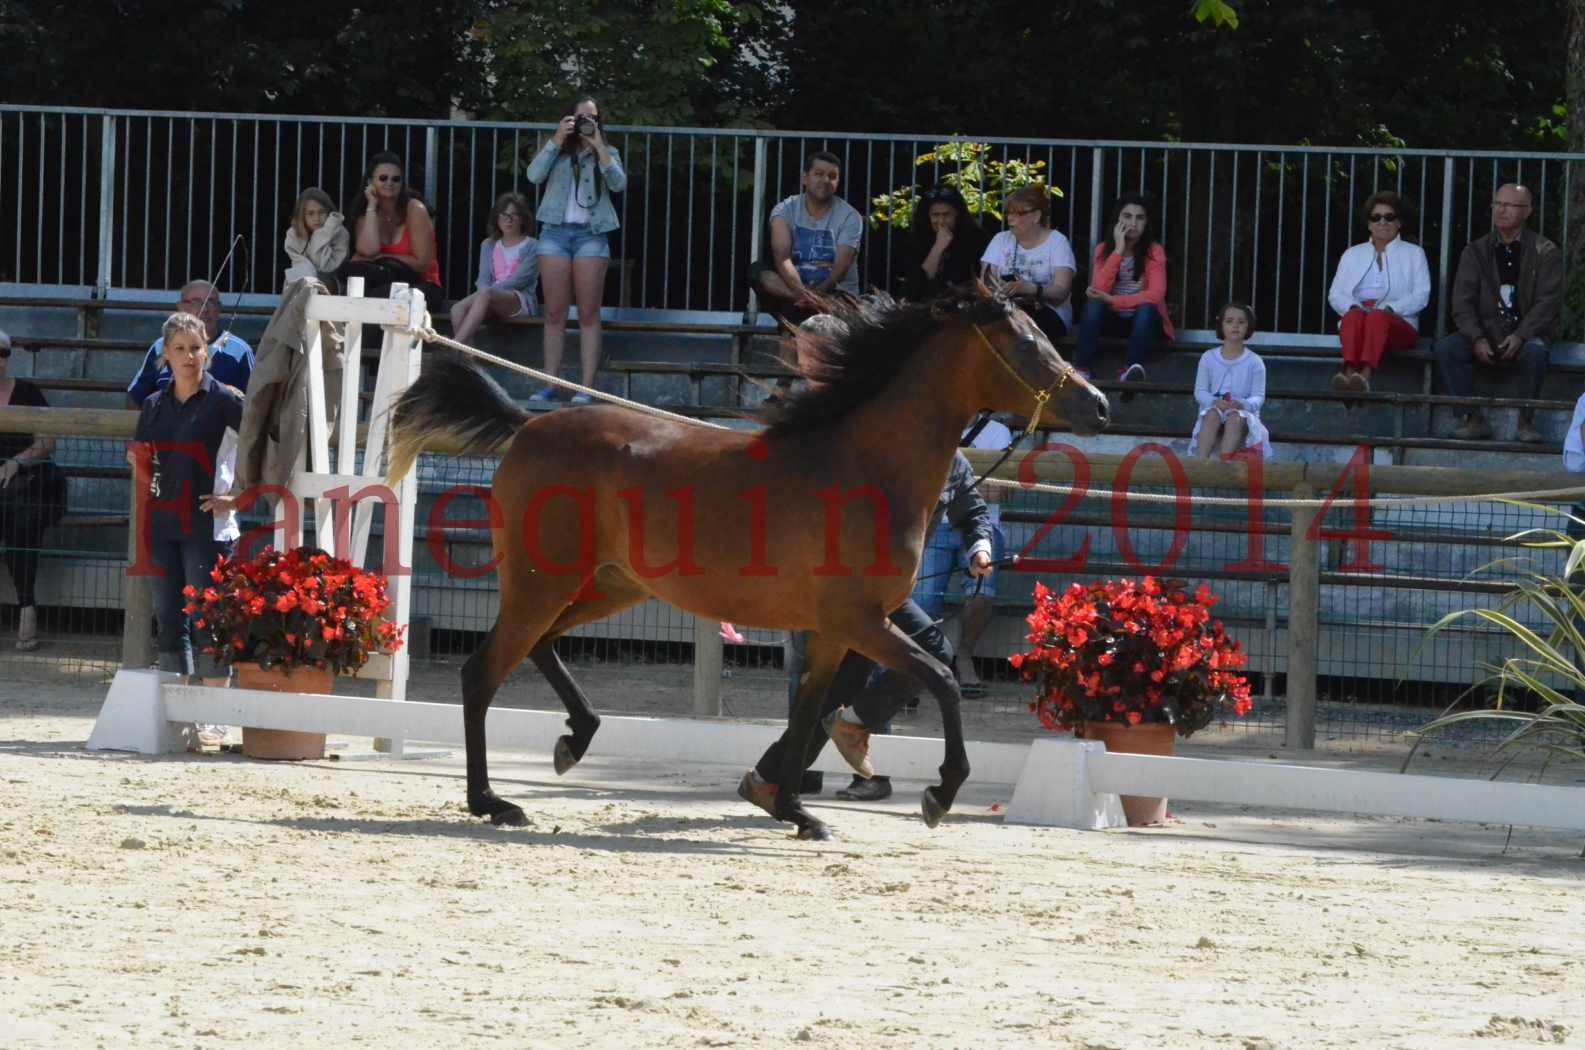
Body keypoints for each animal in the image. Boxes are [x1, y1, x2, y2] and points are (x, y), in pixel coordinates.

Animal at [385, 285, 1109, 837]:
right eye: (1026, 345)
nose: (1098, 405)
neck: (863, 467)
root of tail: (527, 427)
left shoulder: (834, 631)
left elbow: (809, 710)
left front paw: (793, 810)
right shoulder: (860, 622)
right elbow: (940, 679)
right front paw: (937, 795)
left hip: (610, 587)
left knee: (539, 648)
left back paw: (573, 742)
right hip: (543, 582)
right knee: (482, 671)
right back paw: (492, 802)